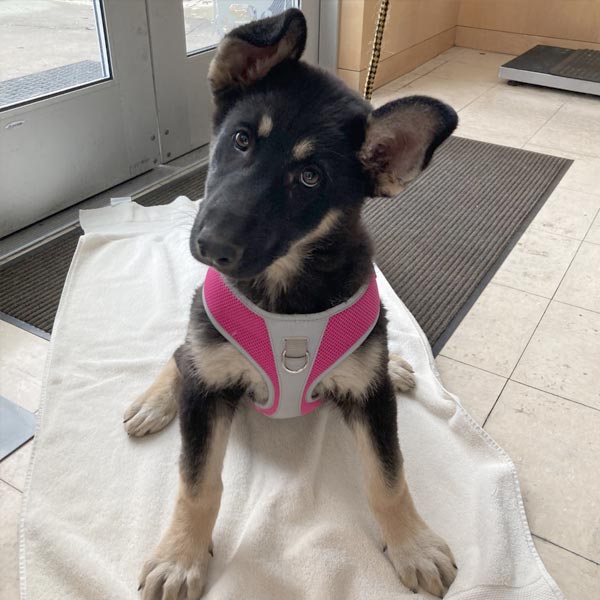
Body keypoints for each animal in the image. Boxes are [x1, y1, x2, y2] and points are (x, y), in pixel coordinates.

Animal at [124, 9, 458, 600]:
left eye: (309, 177)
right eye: (240, 140)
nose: (211, 246)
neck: (285, 294)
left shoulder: (371, 401)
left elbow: (389, 476)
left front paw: (413, 545)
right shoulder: (208, 390)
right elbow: (197, 483)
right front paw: (180, 556)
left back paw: (395, 363)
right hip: (202, 335)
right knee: (181, 354)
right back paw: (155, 400)